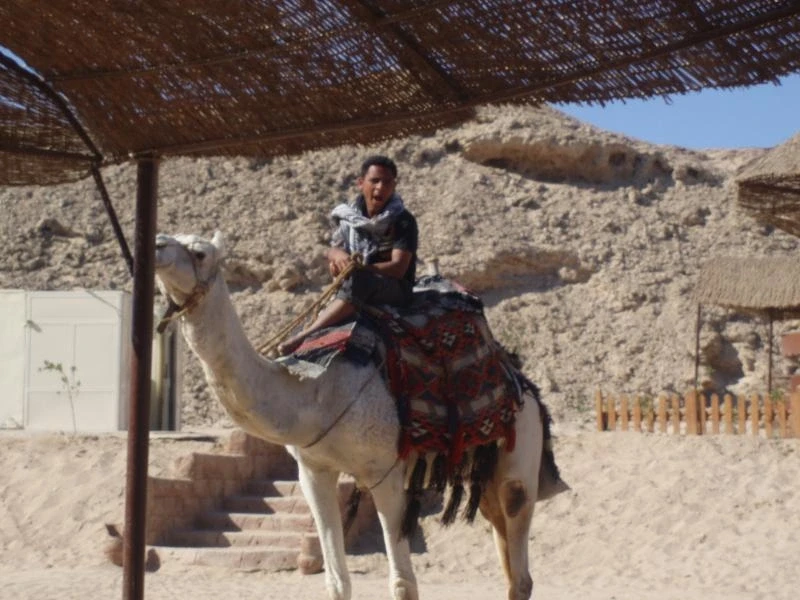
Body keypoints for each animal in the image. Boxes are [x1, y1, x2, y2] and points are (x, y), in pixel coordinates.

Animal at [154, 231, 567, 600]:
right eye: (173, 234)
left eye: (200, 252)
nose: (157, 244)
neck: (314, 392)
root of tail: (526, 387)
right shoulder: (313, 471)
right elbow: (337, 582)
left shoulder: (384, 473)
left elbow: (402, 585)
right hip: (482, 471)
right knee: (506, 556)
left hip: (520, 454)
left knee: (520, 560)